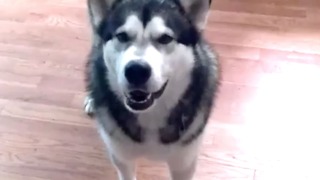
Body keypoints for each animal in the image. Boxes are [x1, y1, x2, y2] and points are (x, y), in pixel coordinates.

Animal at [84, 0, 221, 180]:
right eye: (122, 36)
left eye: (165, 38)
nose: (136, 71)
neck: (151, 115)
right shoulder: (121, 158)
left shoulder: (184, 162)